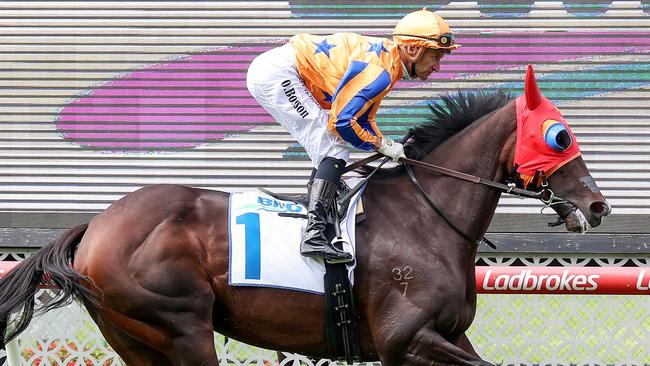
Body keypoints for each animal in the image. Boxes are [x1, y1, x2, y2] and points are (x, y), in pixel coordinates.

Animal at [0, 66, 608, 366]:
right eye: (560, 137)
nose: (597, 206)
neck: (428, 218)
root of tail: (95, 226)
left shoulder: (447, 336)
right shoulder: (405, 341)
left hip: (136, 340)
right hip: (180, 327)